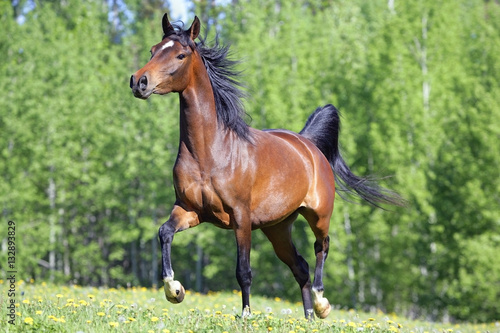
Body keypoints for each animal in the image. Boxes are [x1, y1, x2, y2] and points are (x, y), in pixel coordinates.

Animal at [129, 13, 402, 320]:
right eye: (153, 50)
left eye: (180, 54)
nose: (139, 82)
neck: (210, 154)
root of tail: (309, 145)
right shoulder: (190, 210)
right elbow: (164, 232)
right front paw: (174, 290)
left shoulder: (240, 217)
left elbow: (244, 271)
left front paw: (247, 316)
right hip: (278, 228)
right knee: (300, 266)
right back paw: (308, 318)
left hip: (319, 215)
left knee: (321, 247)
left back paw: (321, 304)